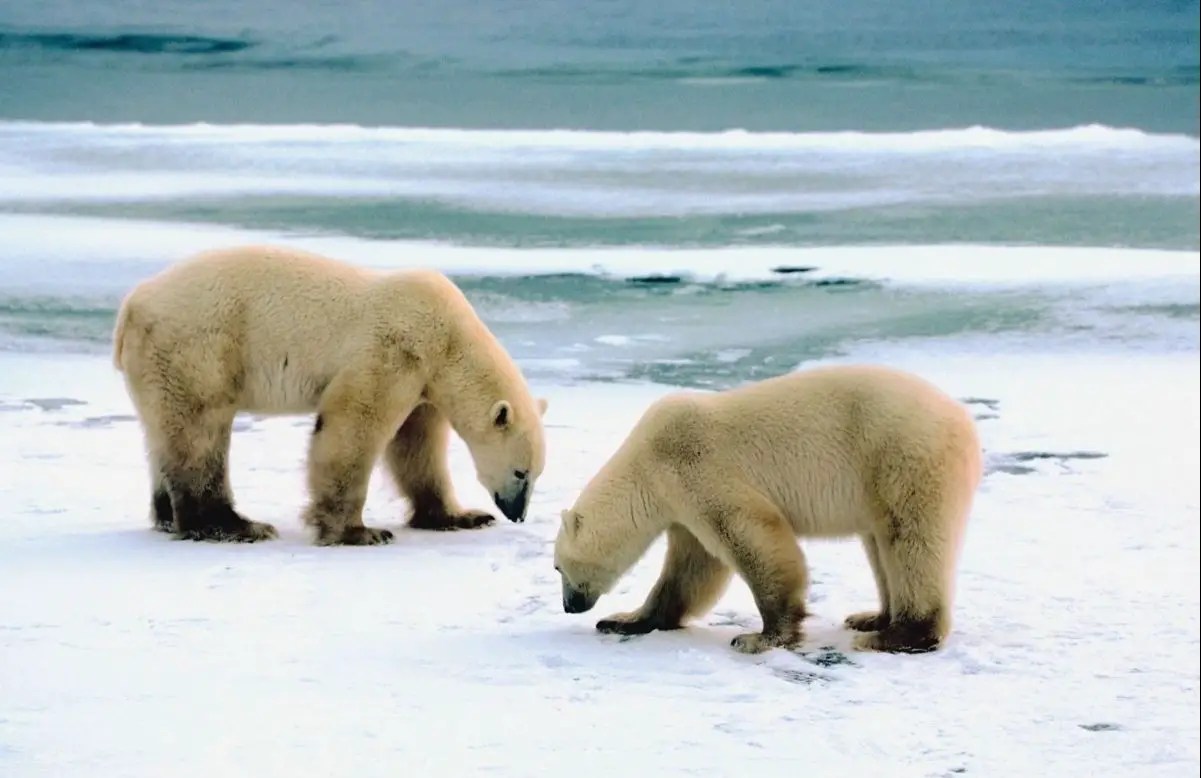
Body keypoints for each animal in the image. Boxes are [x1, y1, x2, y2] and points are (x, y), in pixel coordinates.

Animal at [111, 244, 548, 546]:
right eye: (521, 472)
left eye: (538, 473)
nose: (517, 514)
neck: (449, 336)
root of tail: (130, 306)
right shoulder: (394, 350)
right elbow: (352, 427)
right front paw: (359, 532)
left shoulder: (423, 380)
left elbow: (417, 448)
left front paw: (462, 516)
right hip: (199, 346)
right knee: (201, 428)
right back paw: (234, 525)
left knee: (163, 433)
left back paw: (168, 516)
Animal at [553, 363, 982, 655]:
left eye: (557, 567)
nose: (569, 606)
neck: (645, 461)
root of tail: (963, 419)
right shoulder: (681, 505)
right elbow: (690, 569)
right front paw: (621, 620)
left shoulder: (695, 466)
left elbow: (752, 537)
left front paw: (759, 637)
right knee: (880, 545)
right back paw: (870, 617)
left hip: (901, 457)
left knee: (910, 540)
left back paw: (895, 634)